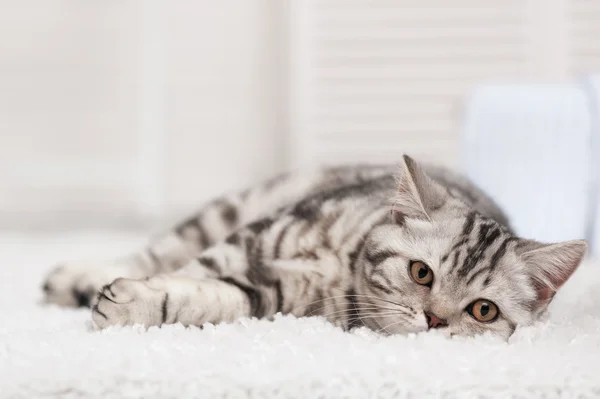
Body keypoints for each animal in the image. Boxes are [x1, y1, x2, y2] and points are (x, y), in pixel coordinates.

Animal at [41, 155, 584, 340]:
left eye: (483, 310)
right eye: (422, 273)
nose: (434, 320)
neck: (343, 264)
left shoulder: (273, 297)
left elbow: (212, 295)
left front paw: (140, 304)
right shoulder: (252, 236)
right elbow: (195, 269)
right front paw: (133, 296)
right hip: (228, 209)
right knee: (154, 251)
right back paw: (75, 278)